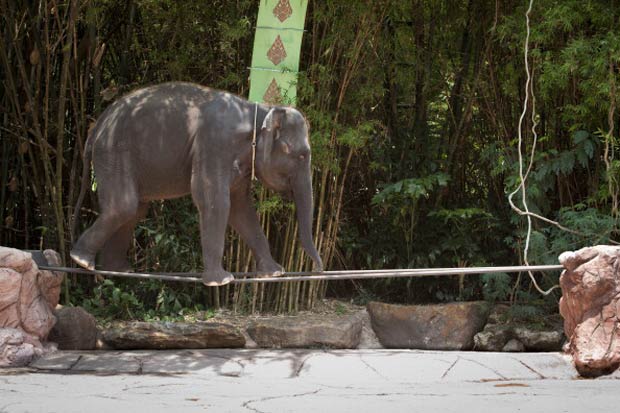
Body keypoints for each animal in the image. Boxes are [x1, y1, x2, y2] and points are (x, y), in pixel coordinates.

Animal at [71, 82, 324, 284]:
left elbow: (241, 208)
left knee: (135, 210)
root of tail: (97, 125)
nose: (320, 270)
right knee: (124, 206)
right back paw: (82, 260)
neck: (258, 110)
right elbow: (216, 201)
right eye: (302, 156)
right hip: (114, 152)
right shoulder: (215, 145)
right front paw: (221, 281)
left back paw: (117, 270)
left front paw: (275, 273)